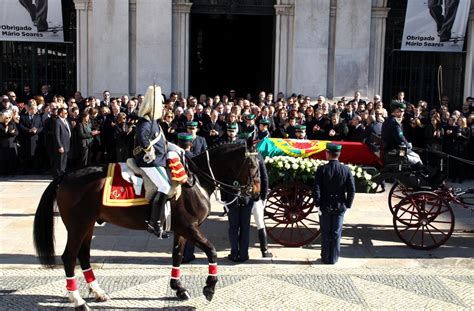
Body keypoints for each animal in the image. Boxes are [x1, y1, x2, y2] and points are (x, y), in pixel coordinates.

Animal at [33, 141, 262, 310]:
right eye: (253, 166)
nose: (257, 194)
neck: (195, 181)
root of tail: (65, 176)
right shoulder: (190, 228)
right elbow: (212, 251)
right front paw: (209, 288)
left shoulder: (182, 229)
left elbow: (177, 255)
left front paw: (178, 288)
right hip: (78, 226)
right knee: (69, 257)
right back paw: (78, 300)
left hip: (88, 226)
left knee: (83, 256)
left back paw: (97, 292)